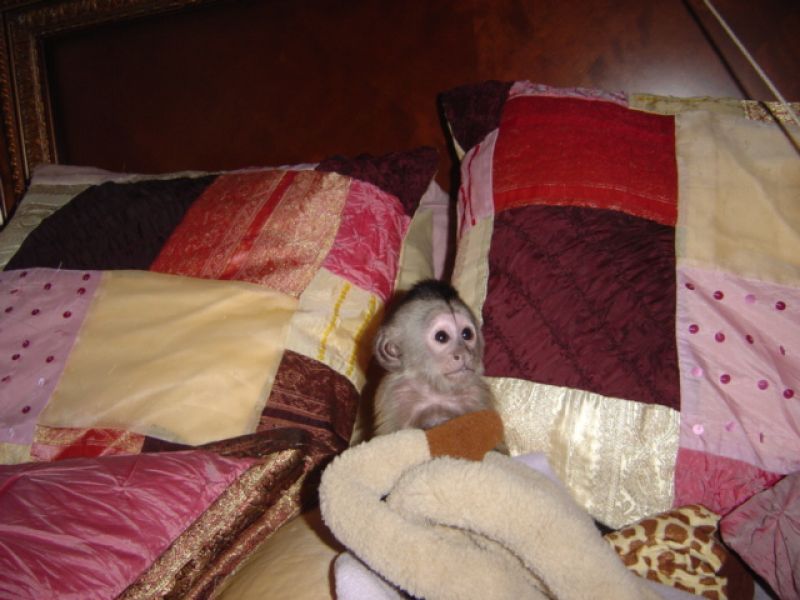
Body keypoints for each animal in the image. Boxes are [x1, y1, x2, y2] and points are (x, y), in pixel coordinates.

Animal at [372, 279, 497, 436]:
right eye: (441, 337)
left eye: (467, 334)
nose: (464, 354)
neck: (436, 390)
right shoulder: (395, 394)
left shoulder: (478, 395)